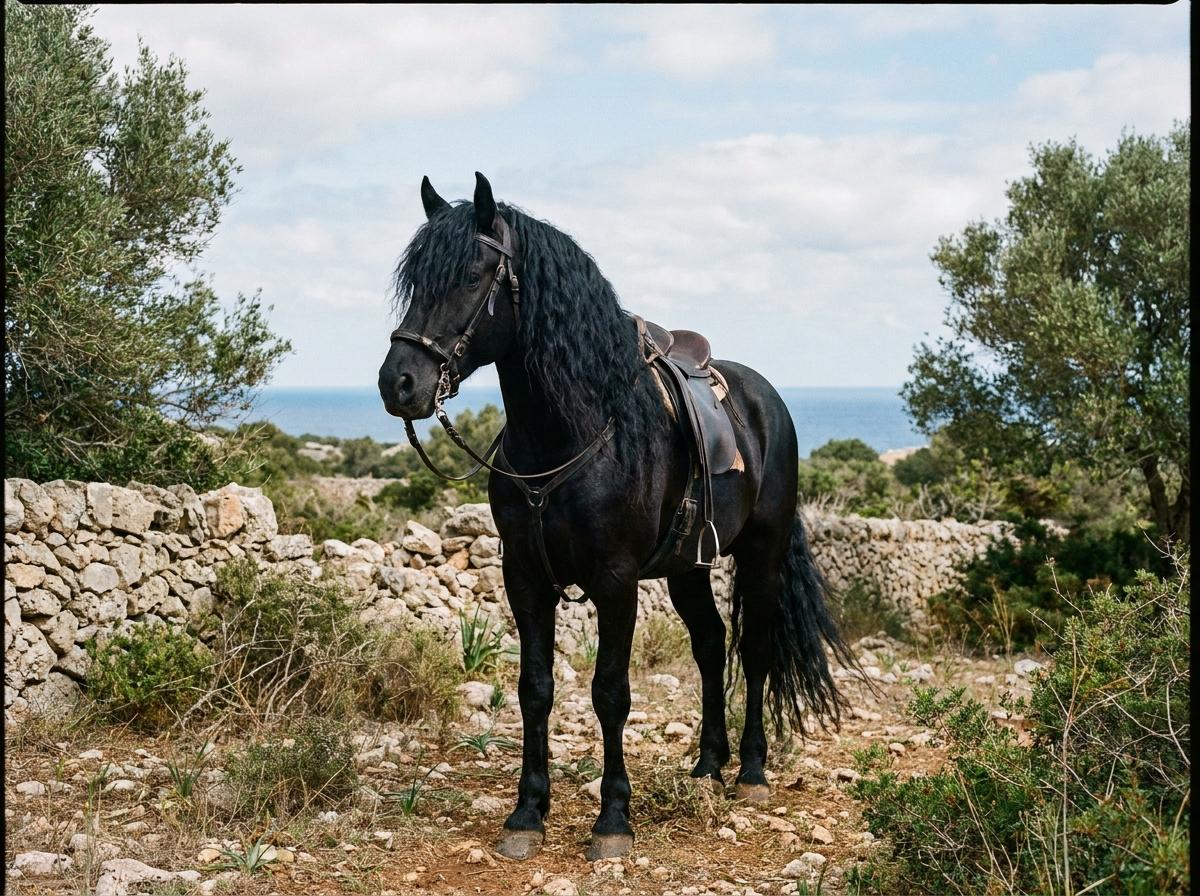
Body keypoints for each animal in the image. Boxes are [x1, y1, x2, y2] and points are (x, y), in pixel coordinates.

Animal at [378, 172, 853, 861]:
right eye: (414, 282)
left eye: (470, 275)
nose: (399, 384)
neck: (568, 437)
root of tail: (767, 401)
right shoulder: (526, 580)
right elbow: (535, 689)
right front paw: (527, 814)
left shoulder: (616, 581)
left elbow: (610, 692)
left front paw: (612, 820)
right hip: (687, 568)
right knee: (711, 645)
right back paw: (707, 767)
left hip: (760, 555)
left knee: (755, 649)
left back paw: (751, 772)